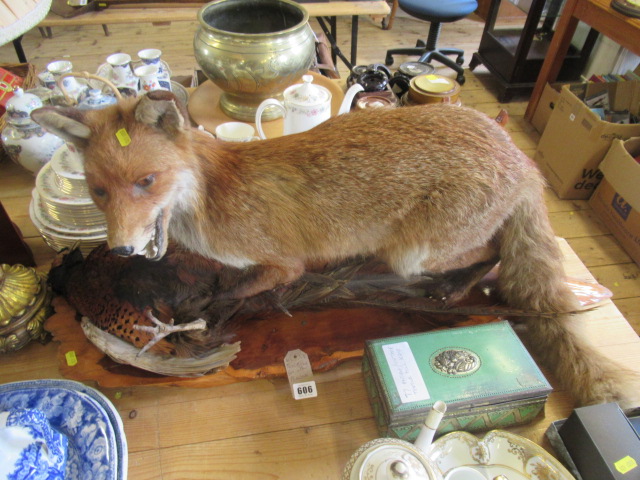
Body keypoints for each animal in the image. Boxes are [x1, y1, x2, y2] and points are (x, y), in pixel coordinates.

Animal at [32, 90, 640, 409]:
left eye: (147, 182)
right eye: (99, 191)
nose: (121, 249)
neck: (214, 198)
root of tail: (518, 156)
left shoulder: (283, 263)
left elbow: (240, 291)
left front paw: (207, 313)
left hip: (415, 253)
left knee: (491, 254)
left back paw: (456, 289)